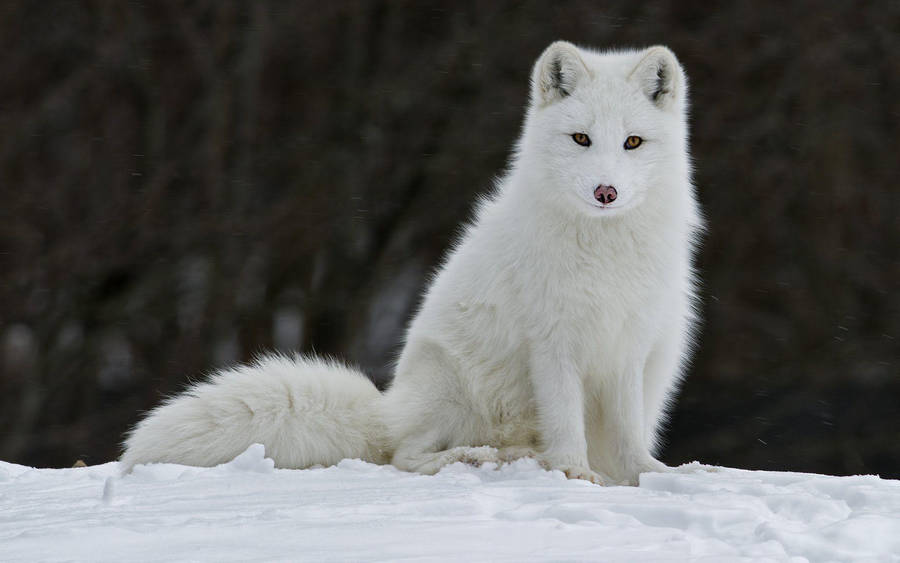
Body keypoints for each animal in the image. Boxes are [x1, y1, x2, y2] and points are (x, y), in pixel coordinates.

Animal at [121, 41, 703, 486]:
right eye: (581, 138)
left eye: (632, 142)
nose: (606, 192)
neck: (604, 251)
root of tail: (387, 407)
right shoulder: (553, 345)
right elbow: (566, 423)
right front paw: (575, 474)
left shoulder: (628, 346)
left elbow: (627, 434)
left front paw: (648, 476)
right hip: (450, 382)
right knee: (405, 455)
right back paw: (483, 457)